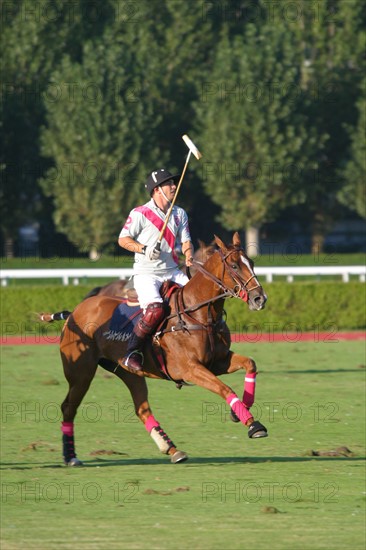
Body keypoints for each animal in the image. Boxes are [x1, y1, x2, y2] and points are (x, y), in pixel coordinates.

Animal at [40, 233, 268, 466]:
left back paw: (172, 449)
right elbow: (226, 389)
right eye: (234, 265)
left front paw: (240, 412)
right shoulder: (190, 368)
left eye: (251, 262)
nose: (259, 299)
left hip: (128, 372)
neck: (199, 314)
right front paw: (253, 425)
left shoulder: (218, 361)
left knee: (141, 408)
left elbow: (250, 363)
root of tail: (74, 313)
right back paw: (70, 456)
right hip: (81, 372)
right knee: (68, 407)